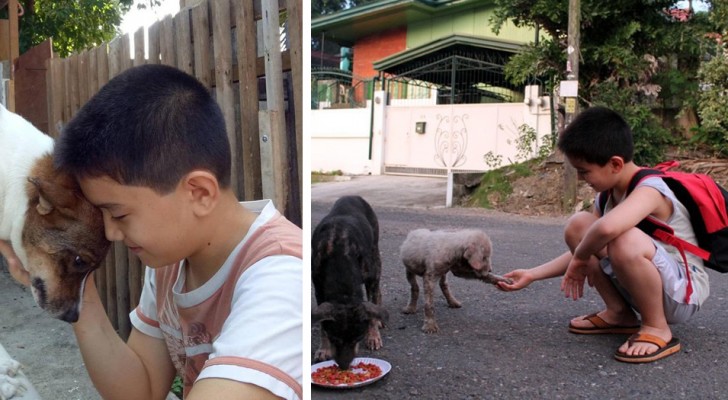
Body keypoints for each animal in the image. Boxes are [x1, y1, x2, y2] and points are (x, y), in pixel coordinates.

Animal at [312, 196, 392, 368]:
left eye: (358, 338)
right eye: (334, 339)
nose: (343, 367)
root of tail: (352, 196)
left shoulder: (370, 277)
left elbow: (371, 309)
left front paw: (373, 335)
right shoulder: (318, 288)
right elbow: (322, 324)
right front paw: (324, 349)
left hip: (375, 255)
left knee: (377, 293)